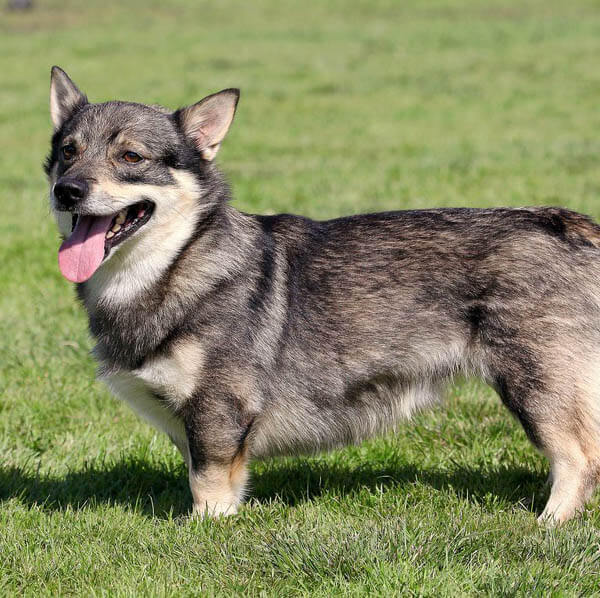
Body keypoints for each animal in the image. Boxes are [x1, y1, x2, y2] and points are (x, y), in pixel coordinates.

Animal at [45, 67, 600, 524]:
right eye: (68, 151)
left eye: (130, 156)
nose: (66, 190)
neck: (176, 262)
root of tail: (571, 226)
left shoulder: (219, 413)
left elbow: (208, 486)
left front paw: (203, 533)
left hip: (536, 384)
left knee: (578, 458)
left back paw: (548, 525)